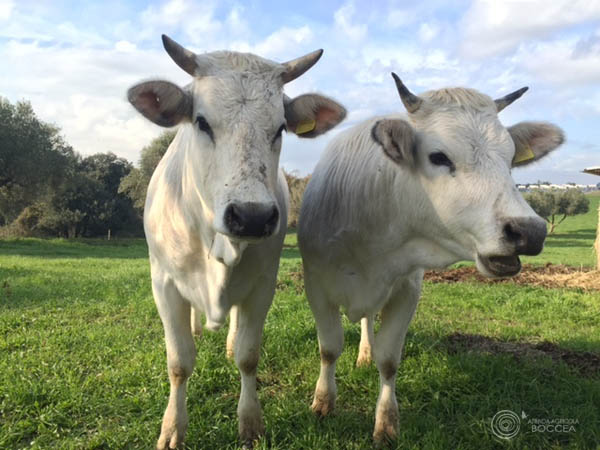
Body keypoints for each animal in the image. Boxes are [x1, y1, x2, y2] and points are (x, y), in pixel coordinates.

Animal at [128, 36, 344, 450]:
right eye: (201, 121)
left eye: (280, 128)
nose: (252, 215)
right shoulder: (163, 283)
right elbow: (179, 362)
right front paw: (172, 428)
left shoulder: (262, 286)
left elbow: (248, 356)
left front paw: (250, 422)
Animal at [298, 74, 564, 442]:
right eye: (438, 156)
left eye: (510, 160)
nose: (530, 231)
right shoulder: (317, 287)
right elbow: (329, 348)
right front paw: (323, 402)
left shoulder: (407, 289)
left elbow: (389, 359)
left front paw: (386, 423)